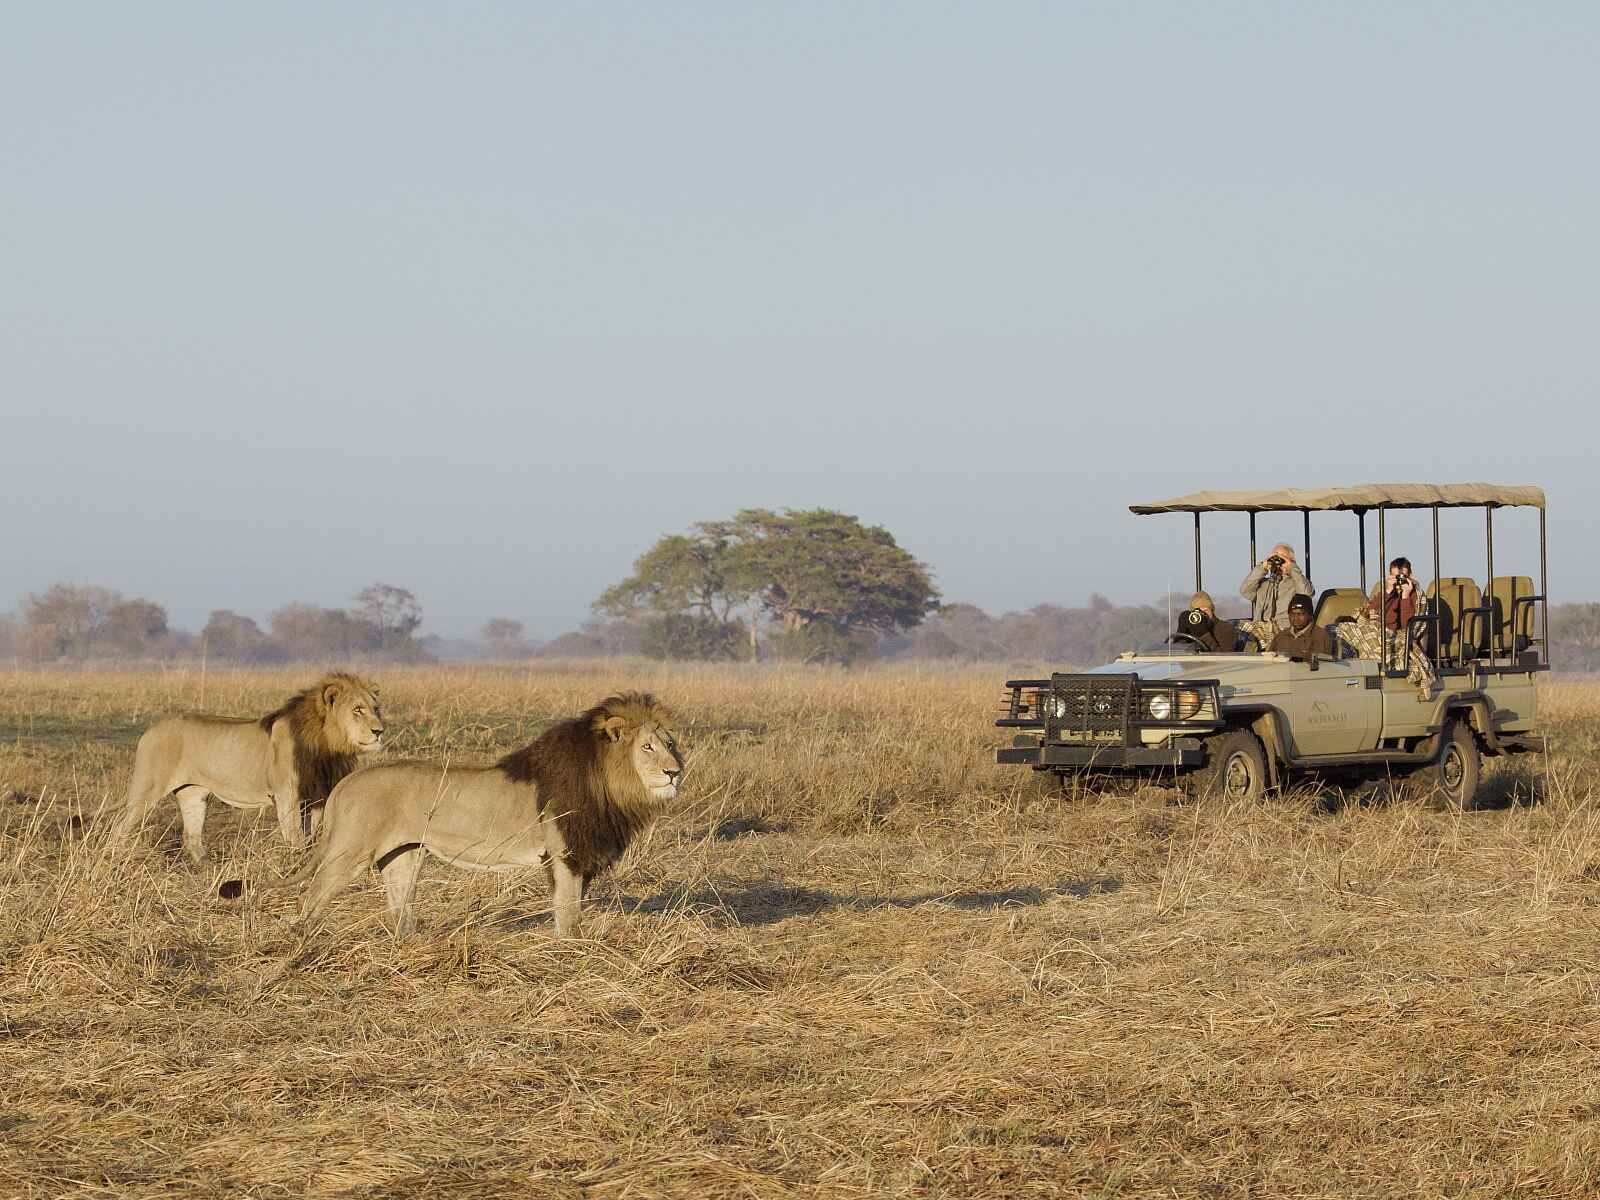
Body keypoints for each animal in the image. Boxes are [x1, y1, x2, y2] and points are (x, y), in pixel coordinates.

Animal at [108, 673, 384, 863]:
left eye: (376, 709)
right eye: (358, 710)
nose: (379, 731)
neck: (327, 744)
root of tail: (151, 729)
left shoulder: (316, 797)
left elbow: (311, 838)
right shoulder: (287, 795)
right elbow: (295, 836)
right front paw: (294, 865)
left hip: (193, 793)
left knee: (192, 836)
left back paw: (207, 868)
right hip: (147, 791)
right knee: (118, 828)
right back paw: (117, 858)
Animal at [219, 693, 683, 939]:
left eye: (671, 744)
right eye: (647, 747)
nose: (675, 772)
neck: (609, 780)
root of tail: (346, 784)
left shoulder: (581, 856)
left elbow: (575, 907)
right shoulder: (566, 853)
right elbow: (568, 912)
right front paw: (571, 950)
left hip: (403, 855)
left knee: (399, 906)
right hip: (347, 851)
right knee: (312, 895)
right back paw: (304, 941)